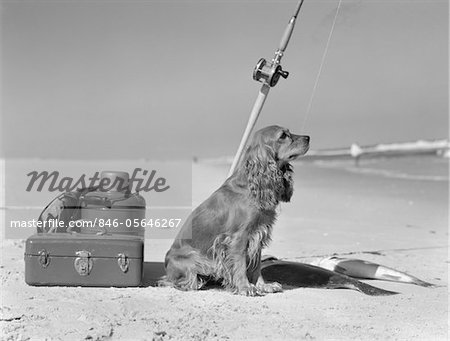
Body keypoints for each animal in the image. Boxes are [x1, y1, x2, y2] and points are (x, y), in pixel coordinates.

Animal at [162, 125, 310, 294]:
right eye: (283, 136)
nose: (308, 137)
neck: (251, 186)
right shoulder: (238, 238)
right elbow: (240, 265)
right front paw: (245, 287)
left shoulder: (257, 234)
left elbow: (256, 266)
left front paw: (263, 285)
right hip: (196, 259)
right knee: (175, 281)